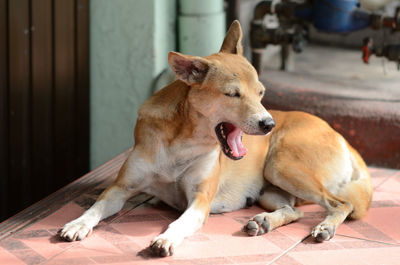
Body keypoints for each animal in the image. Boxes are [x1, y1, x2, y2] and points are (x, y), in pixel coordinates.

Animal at [59, 20, 372, 256]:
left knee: (341, 204)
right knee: (294, 211)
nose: (269, 124)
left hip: (281, 166)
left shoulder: (200, 200)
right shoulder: (121, 188)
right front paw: (77, 224)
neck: (182, 141)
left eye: (261, 92)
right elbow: (96, 207)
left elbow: (181, 223)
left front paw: (167, 238)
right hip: (271, 188)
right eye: (232, 94)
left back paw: (325, 227)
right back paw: (264, 222)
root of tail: (340, 136)